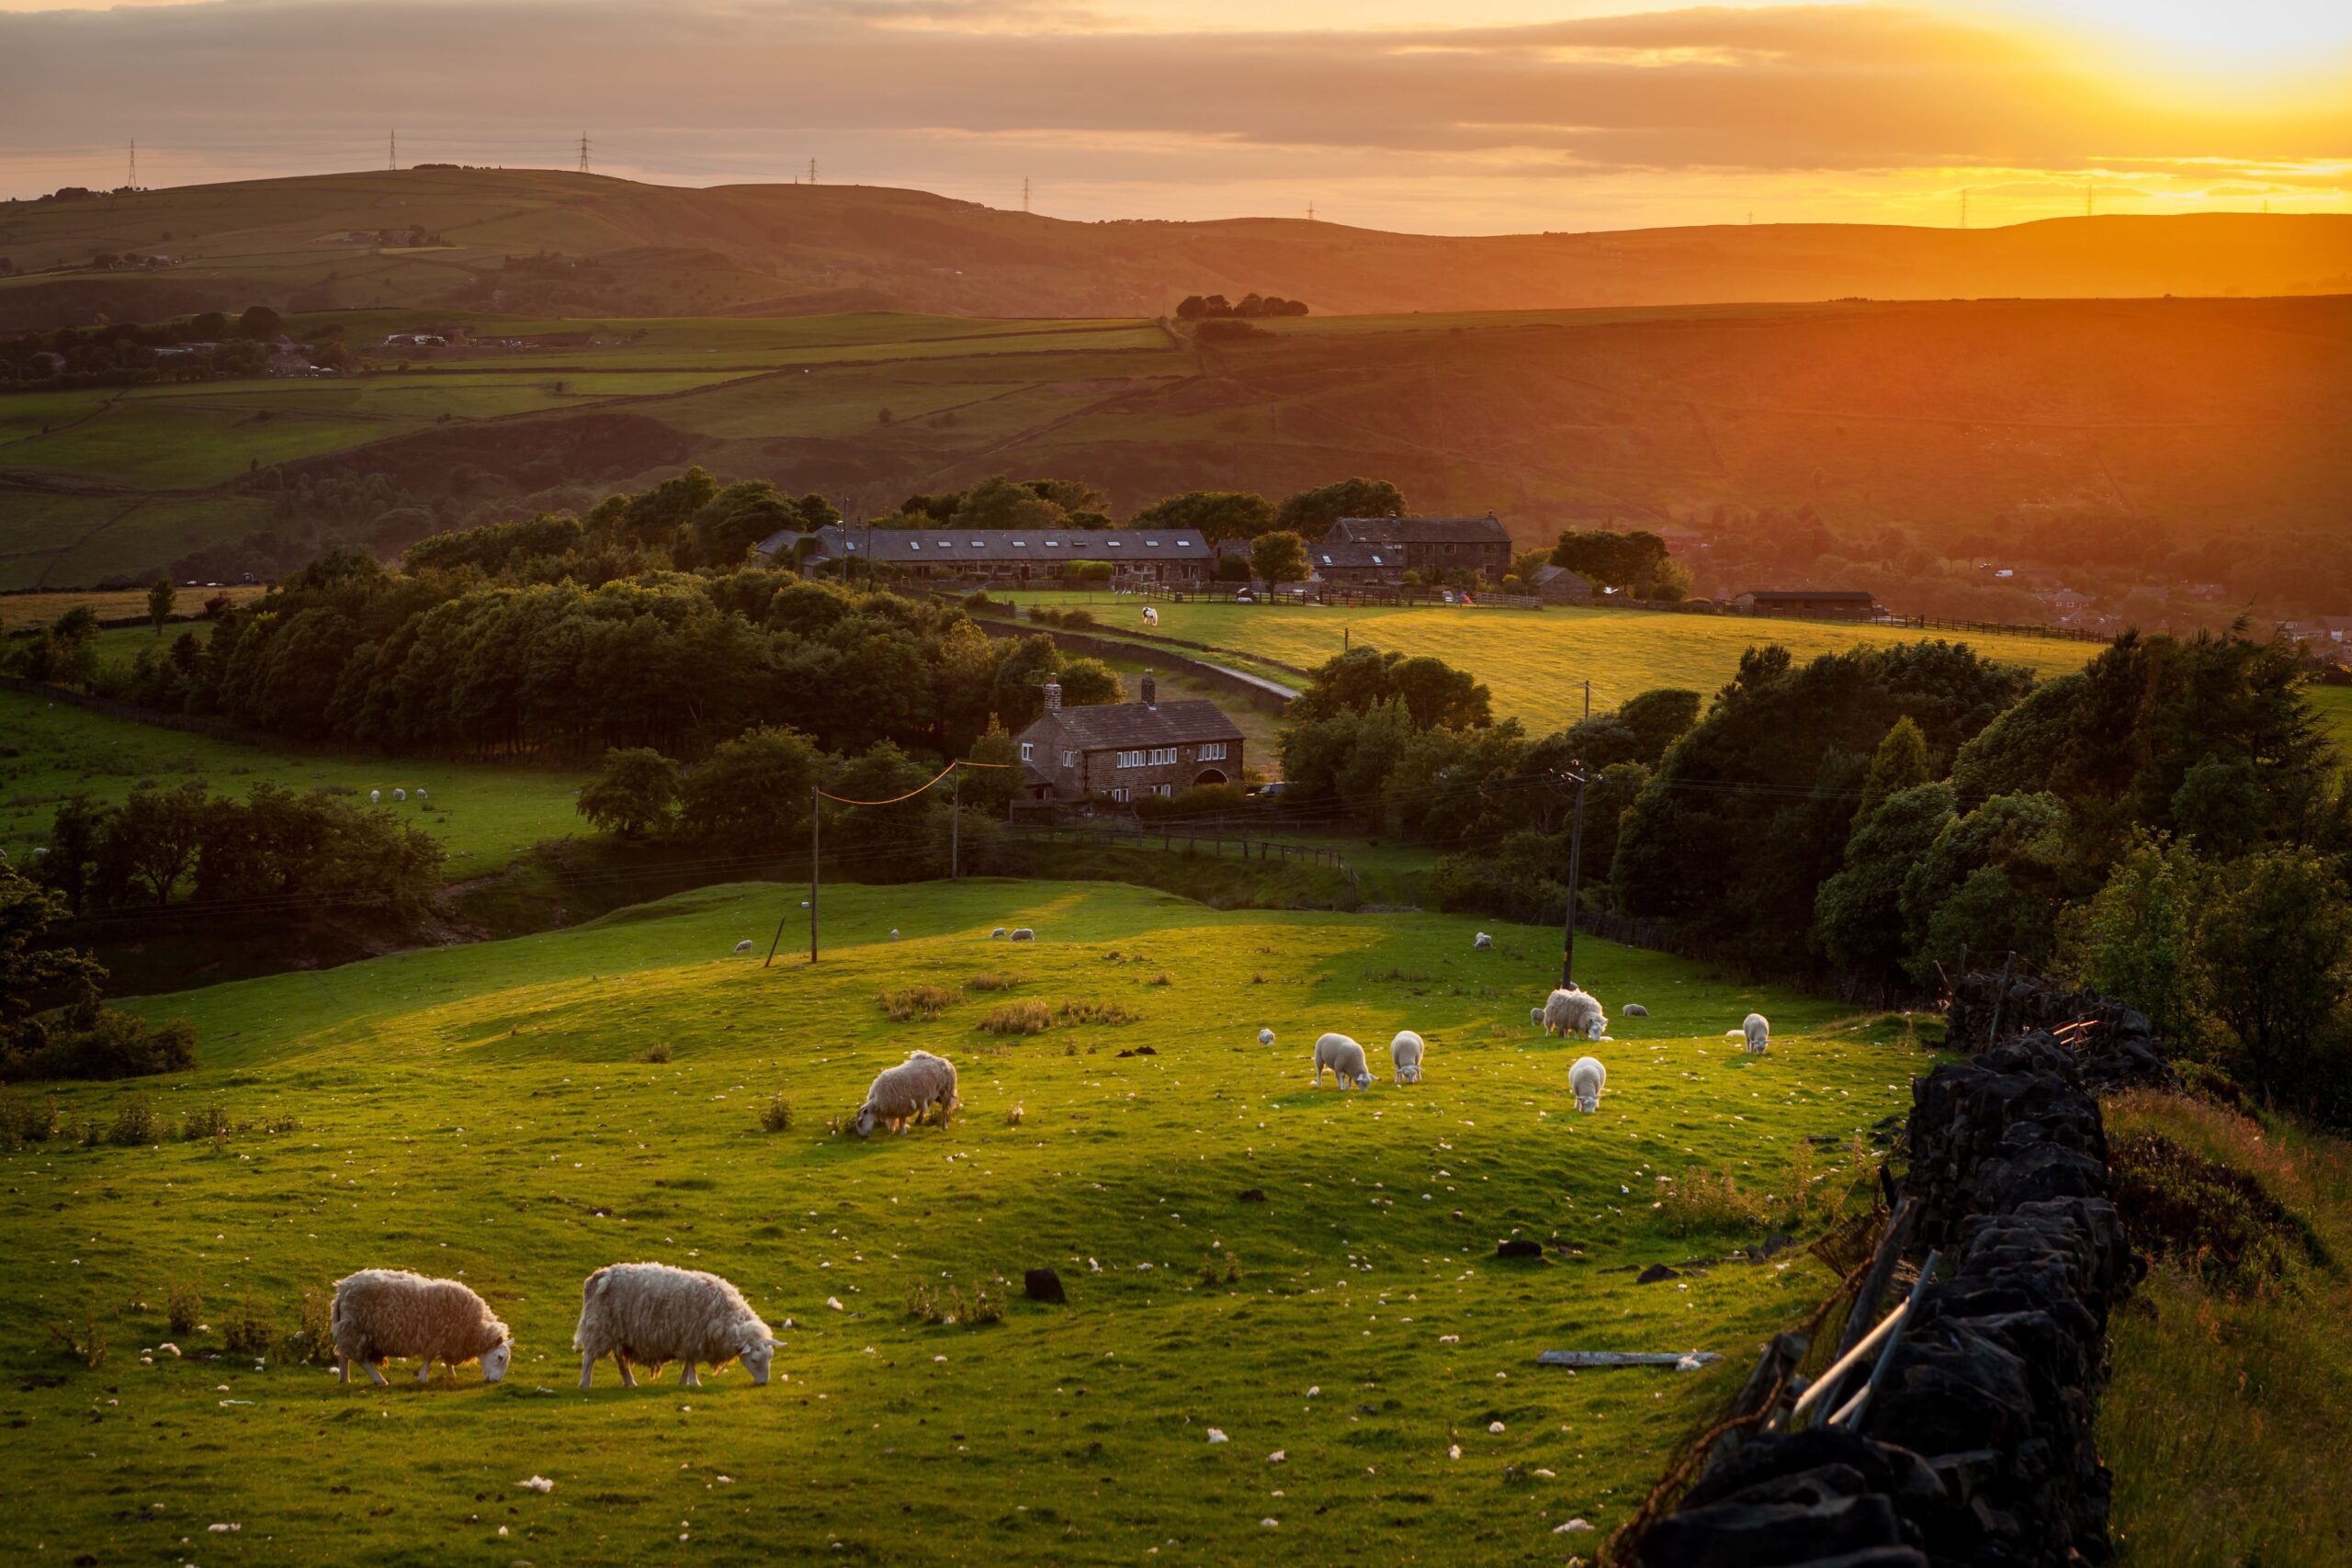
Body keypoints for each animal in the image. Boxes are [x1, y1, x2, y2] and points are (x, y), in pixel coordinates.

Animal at [329, 1269, 513, 1392]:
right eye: (500, 1357)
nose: (495, 1381)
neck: (475, 1327)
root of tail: (342, 1290)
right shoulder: (436, 1337)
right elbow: (429, 1359)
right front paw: (423, 1378)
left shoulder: (449, 1339)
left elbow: (446, 1361)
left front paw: (451, 1375)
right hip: (356, 1330)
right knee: (360, 1359)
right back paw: (378, 1379)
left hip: (348, 1329)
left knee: (344, 1356)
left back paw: (344, 1379)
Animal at [571, 1259, 775, 1382]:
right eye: (754, 1359)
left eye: (770, 1358)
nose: (763, 1383)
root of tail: (598, 1276)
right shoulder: (692, 1338)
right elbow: (691, 1363)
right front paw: (694, 1383)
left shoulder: (691, 1340)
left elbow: (687, 1364)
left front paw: (683, 1382)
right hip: (598, 1327)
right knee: (589, 1358)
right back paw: (585, 1384)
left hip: (619, 1335)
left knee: (621, 1360)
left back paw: (630, 1383)